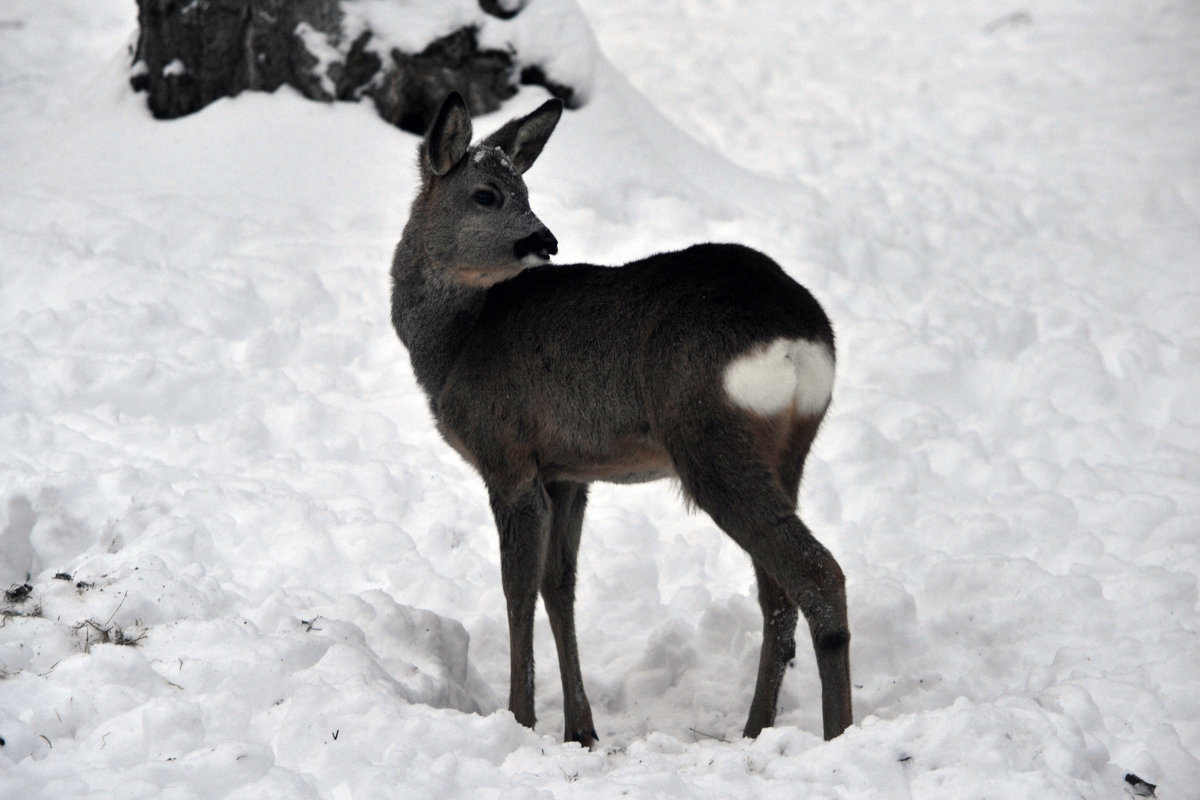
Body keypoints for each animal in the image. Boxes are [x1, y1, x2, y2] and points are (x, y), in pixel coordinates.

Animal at [388, 94, 849, 753]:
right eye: (488, 194)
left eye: (521, 188)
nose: (546, 239)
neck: (454, 345)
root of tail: (800, 337)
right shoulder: (567, 471)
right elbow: (559, 586)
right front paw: (580, 729)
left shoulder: (506, 456)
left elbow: (516, 589)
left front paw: (521, 720)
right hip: (788, 448)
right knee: (776, 595)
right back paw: (756, 729)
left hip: (707, 438)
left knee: (817, 573)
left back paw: (837, 734)